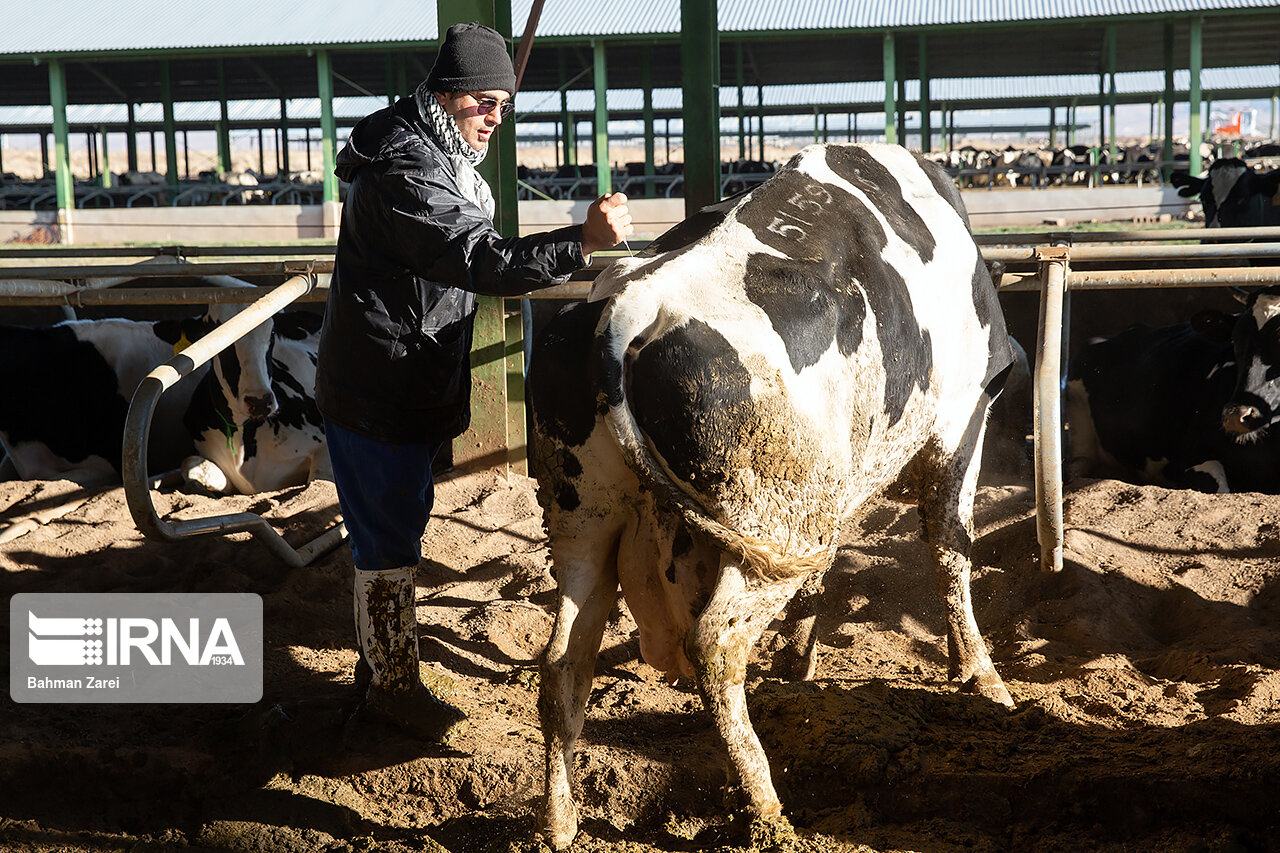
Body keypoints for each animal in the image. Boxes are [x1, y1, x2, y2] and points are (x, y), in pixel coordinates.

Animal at [524, 139, 1013, 845]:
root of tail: (624, 312)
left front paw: (799, 668)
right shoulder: (957, 428)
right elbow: (951, 550)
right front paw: (981, 676)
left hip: (587, 526)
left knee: (564, 664)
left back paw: (559, 823)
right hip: (770, 524)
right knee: (716, 646)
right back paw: (767, 810)